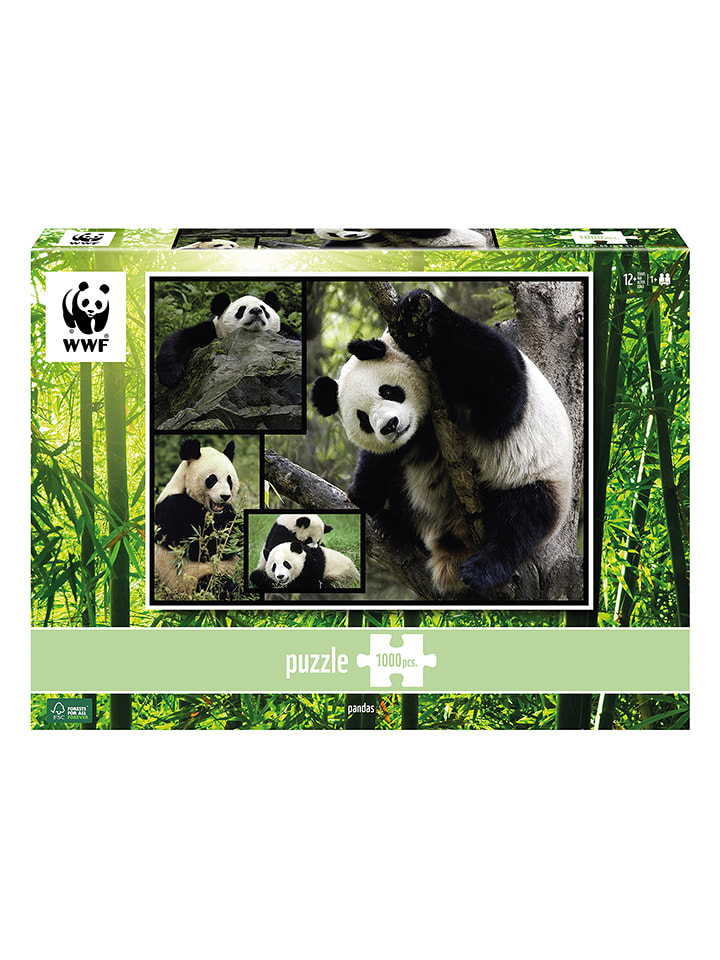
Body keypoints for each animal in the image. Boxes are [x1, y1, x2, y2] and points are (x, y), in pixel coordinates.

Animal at [154, 438, 241, 597]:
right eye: (212, 479)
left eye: (229, 479)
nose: (225, 496)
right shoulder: (173, 509)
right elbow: (199, 546)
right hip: (192, 580)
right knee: (217, 583)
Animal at [155, 290, 300, 388]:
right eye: (241, 309)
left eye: (264, 308)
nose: (256, 310)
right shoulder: (212, 330)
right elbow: (181, 338)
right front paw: (171, 376)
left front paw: (287, 335)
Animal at [311, 288, 573, 596]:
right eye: (362, 419)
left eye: (388, 391)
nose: (389, 426)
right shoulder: (407, 439)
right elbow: (379, 461)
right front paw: (362, 494)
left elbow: (501, 389)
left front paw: (420, 305)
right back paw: (395, 526)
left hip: (537, 477)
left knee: (521, 519)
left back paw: (482, 570)